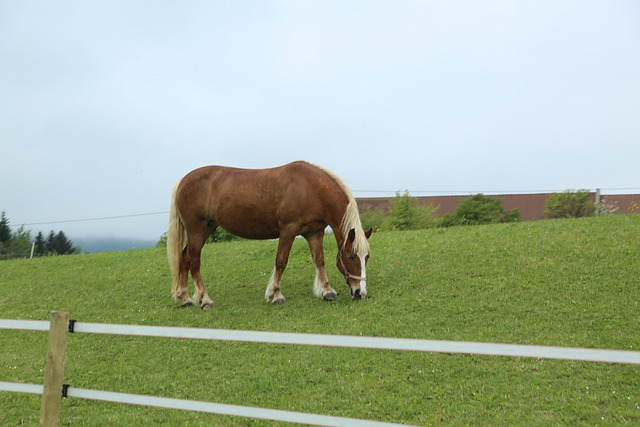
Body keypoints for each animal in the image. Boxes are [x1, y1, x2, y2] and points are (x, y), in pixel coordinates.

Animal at [168, 162, 372, 310]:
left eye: (367, 257)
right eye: (351, 256)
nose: (360, 293)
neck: (310, 188)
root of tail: (182, 182)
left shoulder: (314, 232)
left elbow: (319, 260)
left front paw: (327, 291)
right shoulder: (288, 230)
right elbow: (281, 261)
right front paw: (275, 295)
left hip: (207, 228)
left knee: (185, 258)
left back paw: (185, 298)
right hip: (196, 229)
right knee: (194, 261)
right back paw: (204, 300)